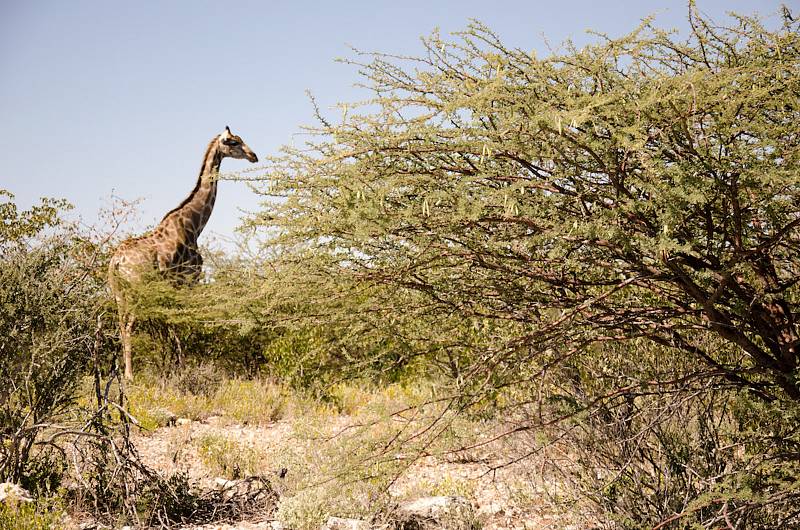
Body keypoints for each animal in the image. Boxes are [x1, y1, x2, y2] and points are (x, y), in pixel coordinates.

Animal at [109, 126, 258, 378]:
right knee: (129, 325)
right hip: (139, 287)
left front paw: (176, 365)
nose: (253, 155)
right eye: (233, 142)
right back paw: (129, 374)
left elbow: (173, 322)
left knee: (121, 324)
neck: (195, 224)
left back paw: (123, 371)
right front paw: (184, 365)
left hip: (118, 290)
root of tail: (116, 261)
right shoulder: (188, 279)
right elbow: (183, 321)